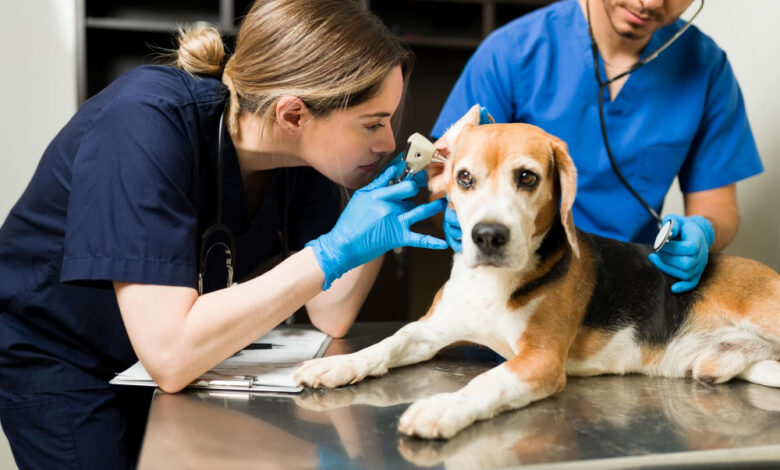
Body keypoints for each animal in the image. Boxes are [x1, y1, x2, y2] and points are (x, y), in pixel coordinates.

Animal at [294, 104, 780, 438]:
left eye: (527, 178)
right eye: (464, 178)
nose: (488, 236)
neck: (491, 285)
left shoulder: (540, 360)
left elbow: (486, 383)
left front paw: (443, 407)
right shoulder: (429, 331)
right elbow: (387, 343)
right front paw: (336, 365)